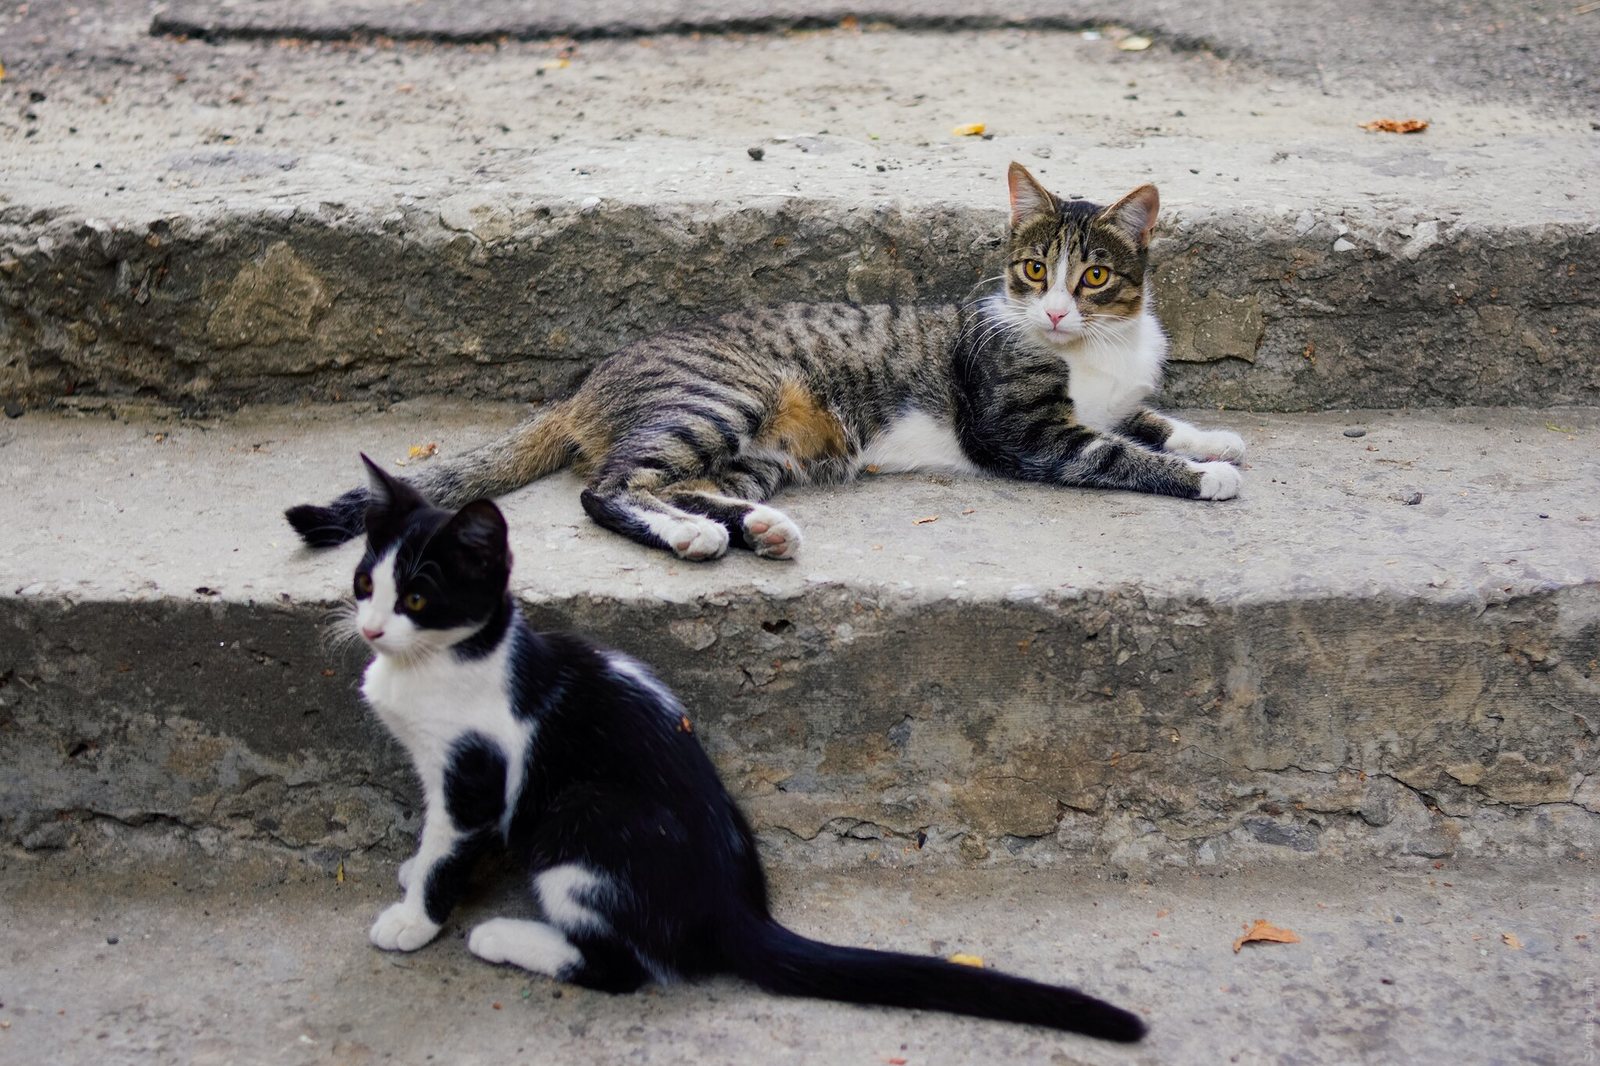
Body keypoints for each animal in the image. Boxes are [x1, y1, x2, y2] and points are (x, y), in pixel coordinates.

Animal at [288, 163, 1241, 560]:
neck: (1096, 349)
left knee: (676, 486)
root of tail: (584, 385)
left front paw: (1214, 440)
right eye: (1035, 270)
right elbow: (1115, 451)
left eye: (1096, 276)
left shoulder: (1114, 396)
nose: (1053, 308)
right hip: (720, 398)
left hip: (762, 454)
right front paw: (1207, 478)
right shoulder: (1023, 429)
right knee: (612, 489)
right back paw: (698, 539)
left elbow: (1151, 420)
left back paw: (754, 529)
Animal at [347, 454, 1152, 1037]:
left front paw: (415, 919)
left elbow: (451, 845)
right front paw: (415, 872)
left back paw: (503, 938)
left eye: (417, 598)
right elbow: (436, 838)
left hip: (580, 819)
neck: (448, 661)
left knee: (621, 966)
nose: (370, 628)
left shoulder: (475, 772)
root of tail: (734, 909)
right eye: (362, 583)